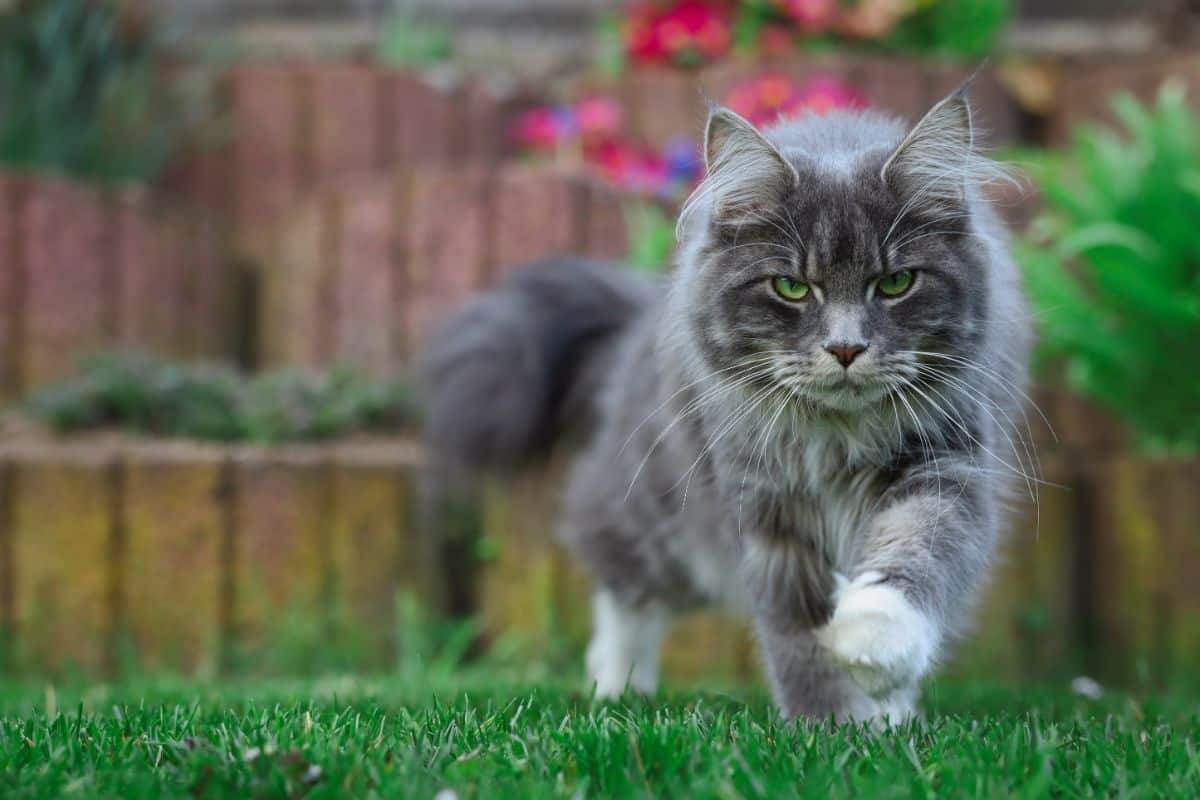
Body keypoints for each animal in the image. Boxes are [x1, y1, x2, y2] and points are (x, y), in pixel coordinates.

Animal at [420, 89, 1032, 724]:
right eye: (791, 287)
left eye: (895, 283)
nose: (845, 348)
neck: (836, 437)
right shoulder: (766, 512)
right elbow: (798, 636)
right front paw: (829, 726)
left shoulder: (945, 465)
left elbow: (916, 550)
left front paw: (874, 650)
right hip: (662, 517)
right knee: (621, 582)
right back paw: (616, 686)